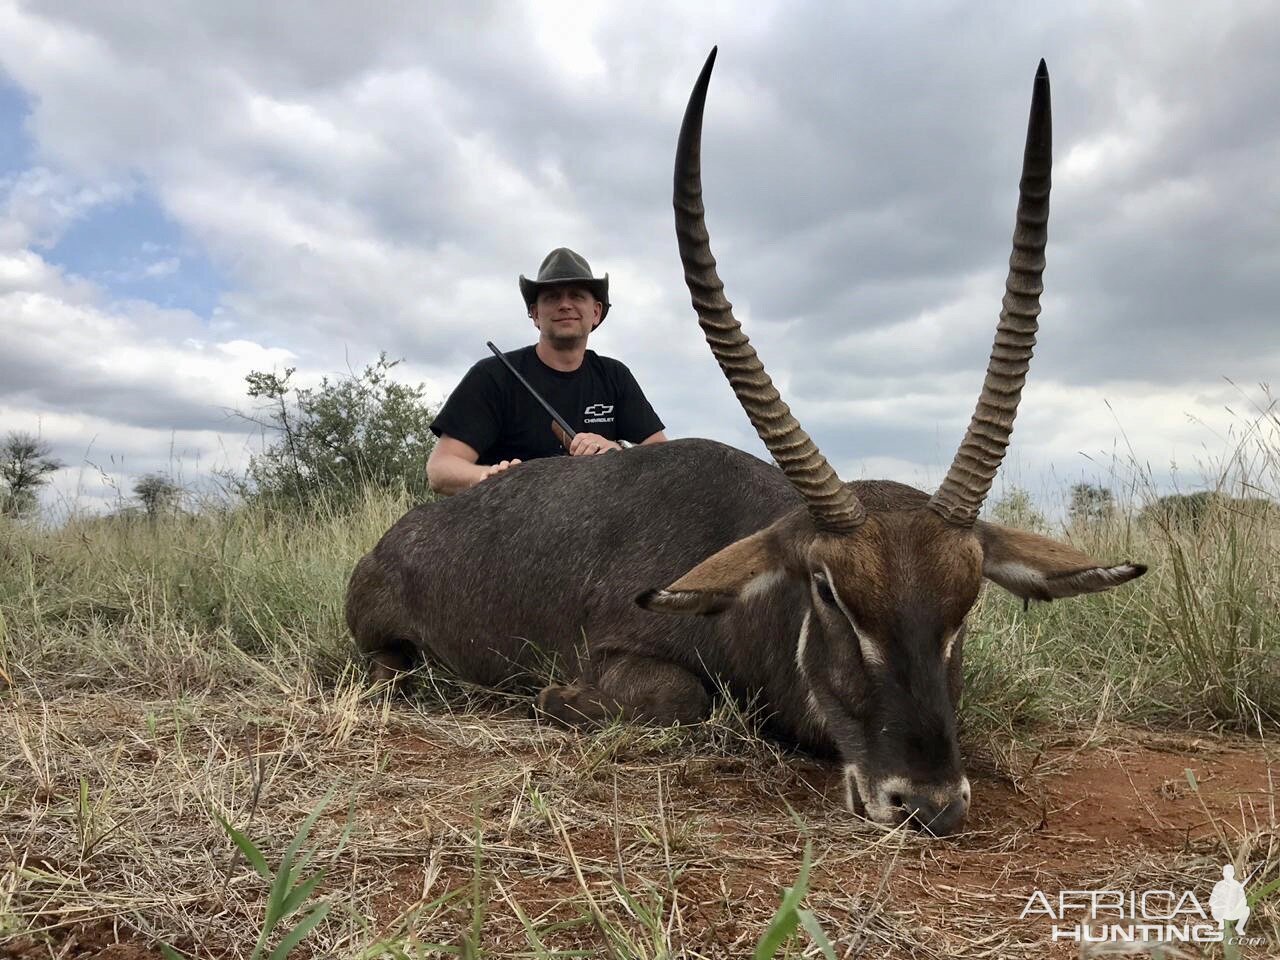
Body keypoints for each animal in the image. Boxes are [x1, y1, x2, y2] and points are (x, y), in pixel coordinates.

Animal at [345, 50, 1146, 834]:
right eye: (827, 590)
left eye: (968, 600)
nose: (928, 804)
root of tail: (391, 541)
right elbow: (683, 700)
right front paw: (548, 699)